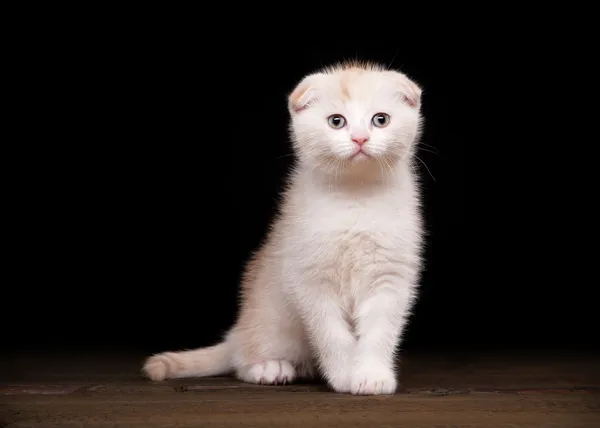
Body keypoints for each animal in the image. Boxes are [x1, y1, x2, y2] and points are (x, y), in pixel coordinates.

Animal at [143, 60, 424, 394]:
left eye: (380, 120)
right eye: (337, 121)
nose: (359, 138)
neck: (355, 196)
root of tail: (237, 332)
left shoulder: (390, 275)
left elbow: (380, 331)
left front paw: (372, 376)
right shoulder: (309, 278)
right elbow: (332, 335)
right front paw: (344, 375)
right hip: (268, 317)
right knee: (243, 359)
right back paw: (269, 367)